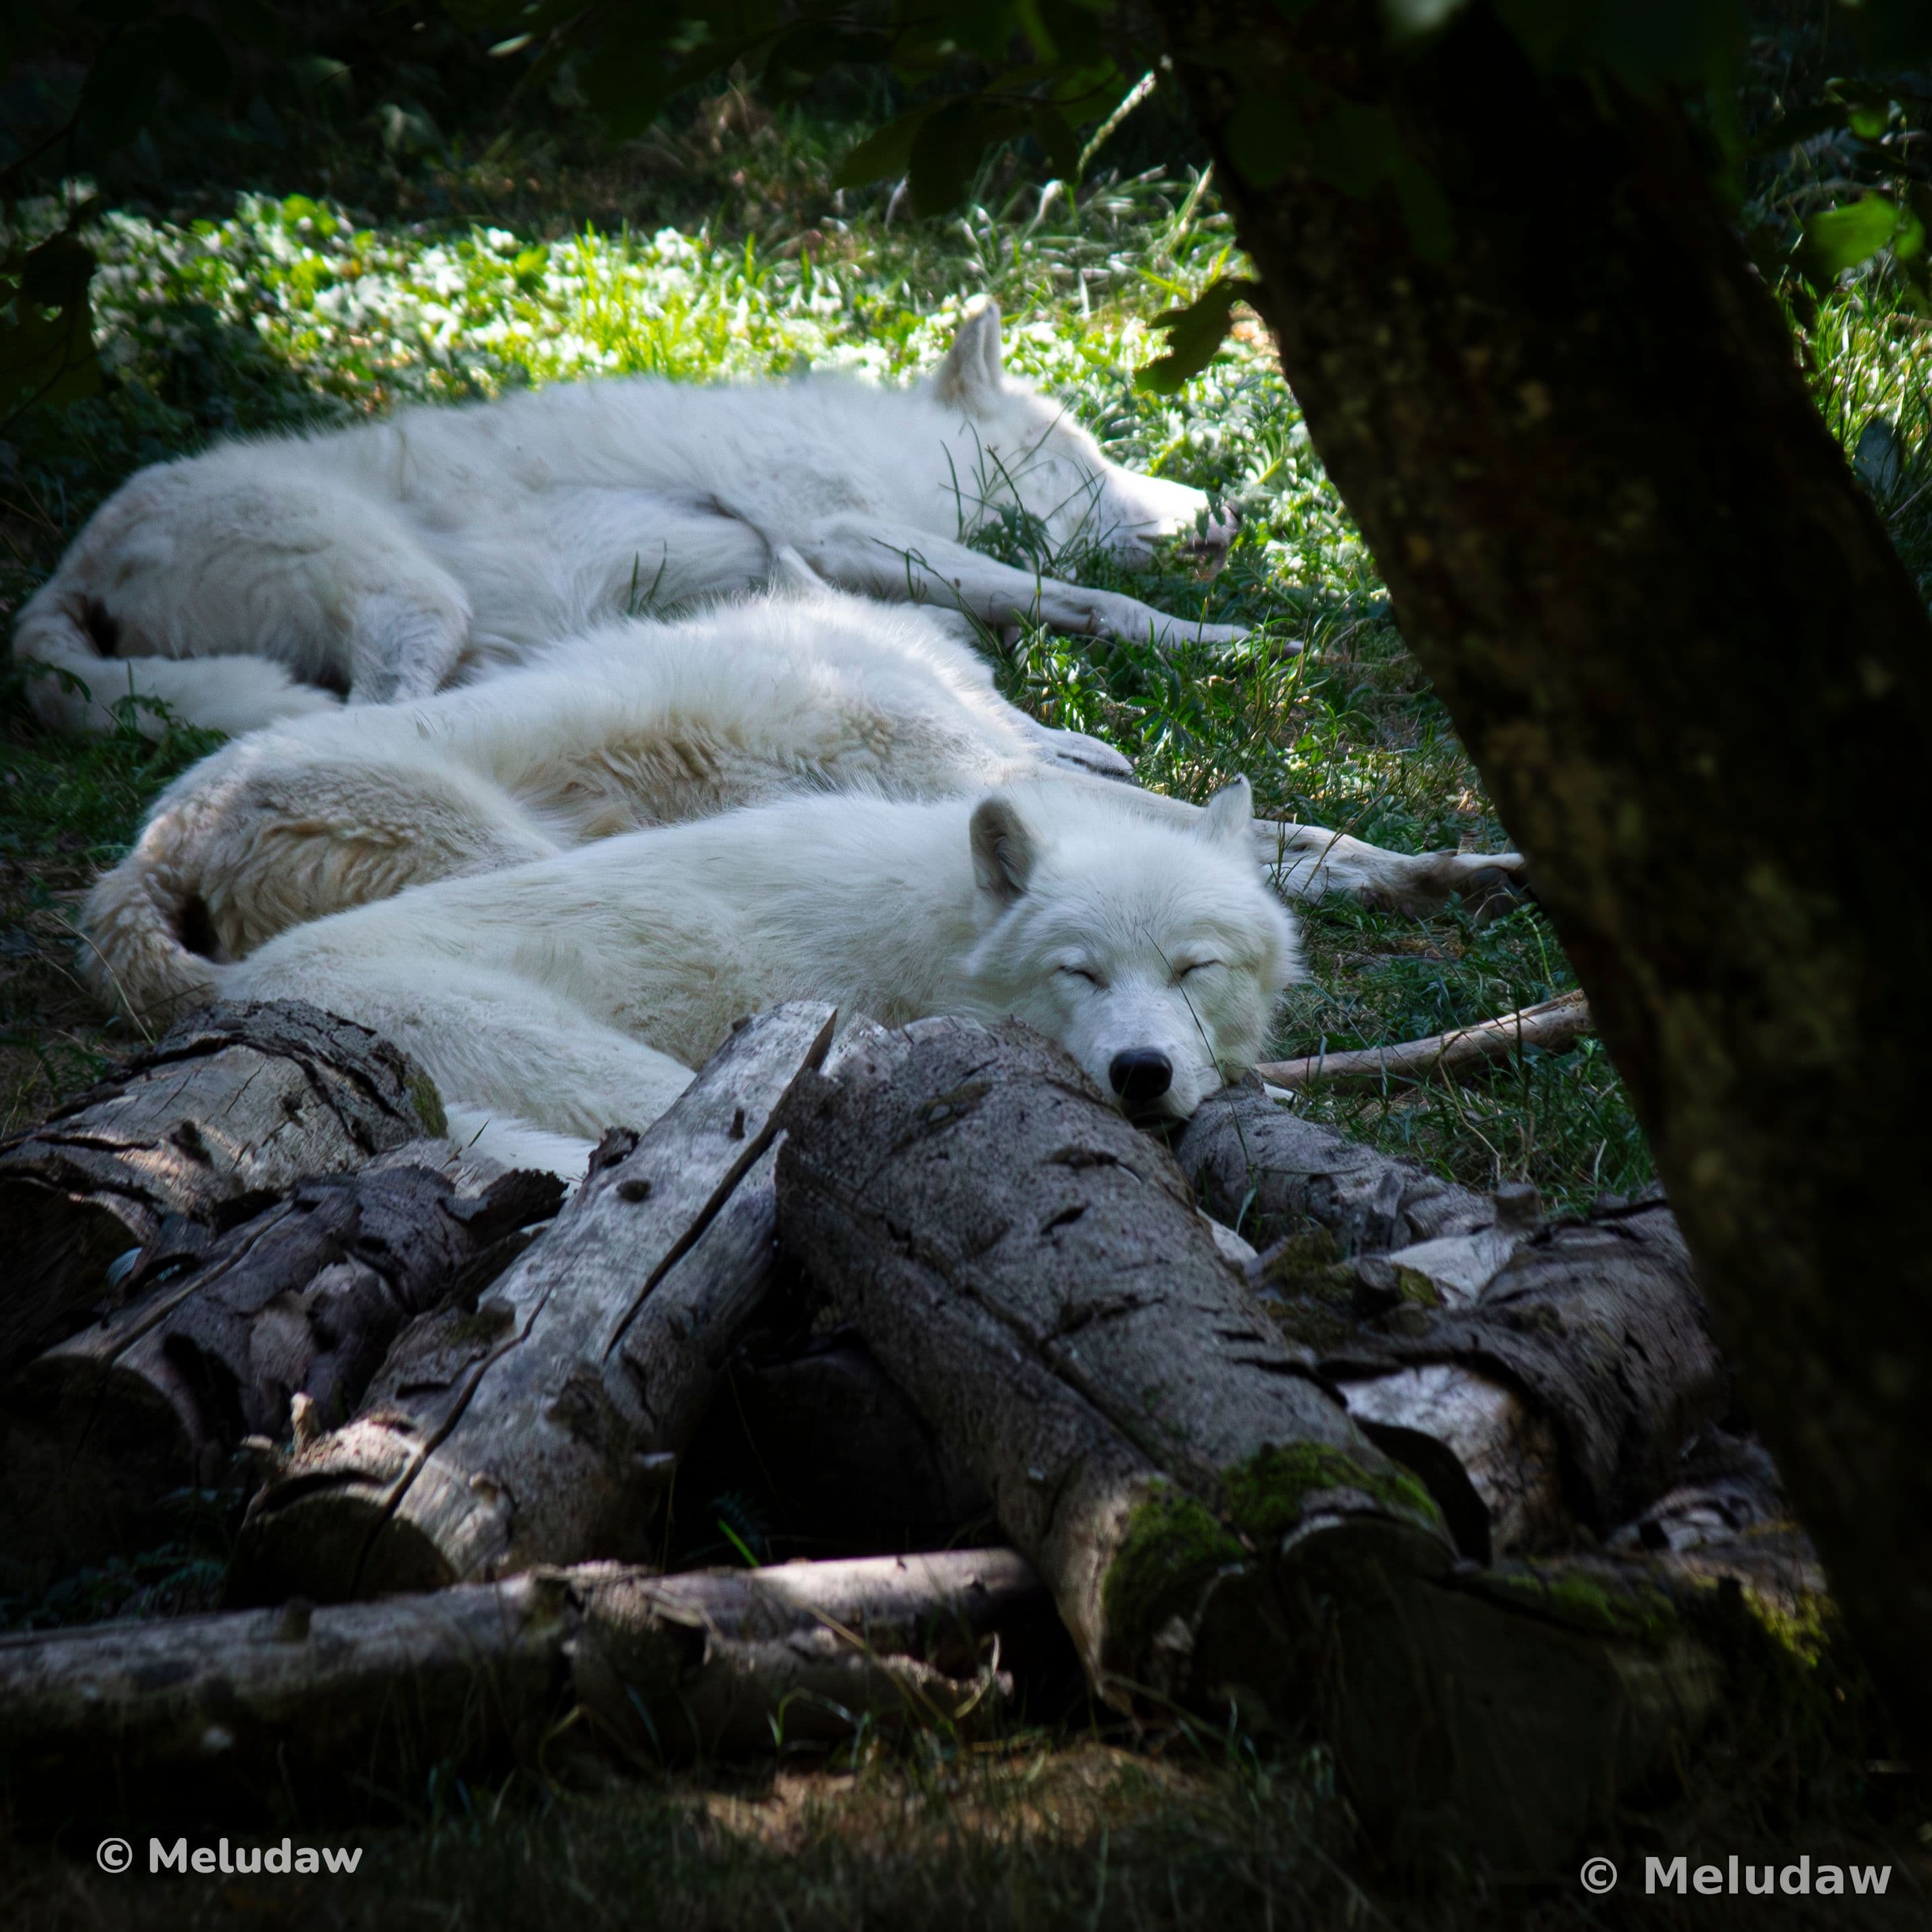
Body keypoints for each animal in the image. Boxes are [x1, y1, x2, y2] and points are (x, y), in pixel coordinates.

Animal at [16, 300, 1244, 737]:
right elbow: (1090, 594)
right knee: (367, 716)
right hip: (420, 602)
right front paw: (1216, 638)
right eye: (1084, 459)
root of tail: (70, 565)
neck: (882, 453)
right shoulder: (844, 531)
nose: (1222, 512)